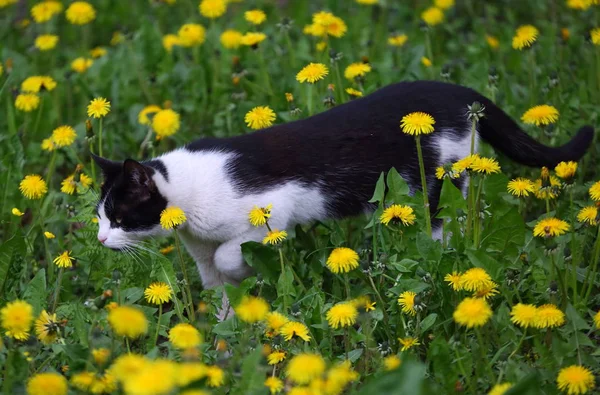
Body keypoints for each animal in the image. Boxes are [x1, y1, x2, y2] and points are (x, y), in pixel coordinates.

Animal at [91, 81, 592, 294]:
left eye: (119, 217)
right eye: (99, 217)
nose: (99, 239)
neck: (185, 197)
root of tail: (460, 93)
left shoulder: (272, 208)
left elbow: (228, 256)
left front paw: (246, 271)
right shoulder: (198, 247)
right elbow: (216, 286)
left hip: (436, 182)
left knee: (451, 225)